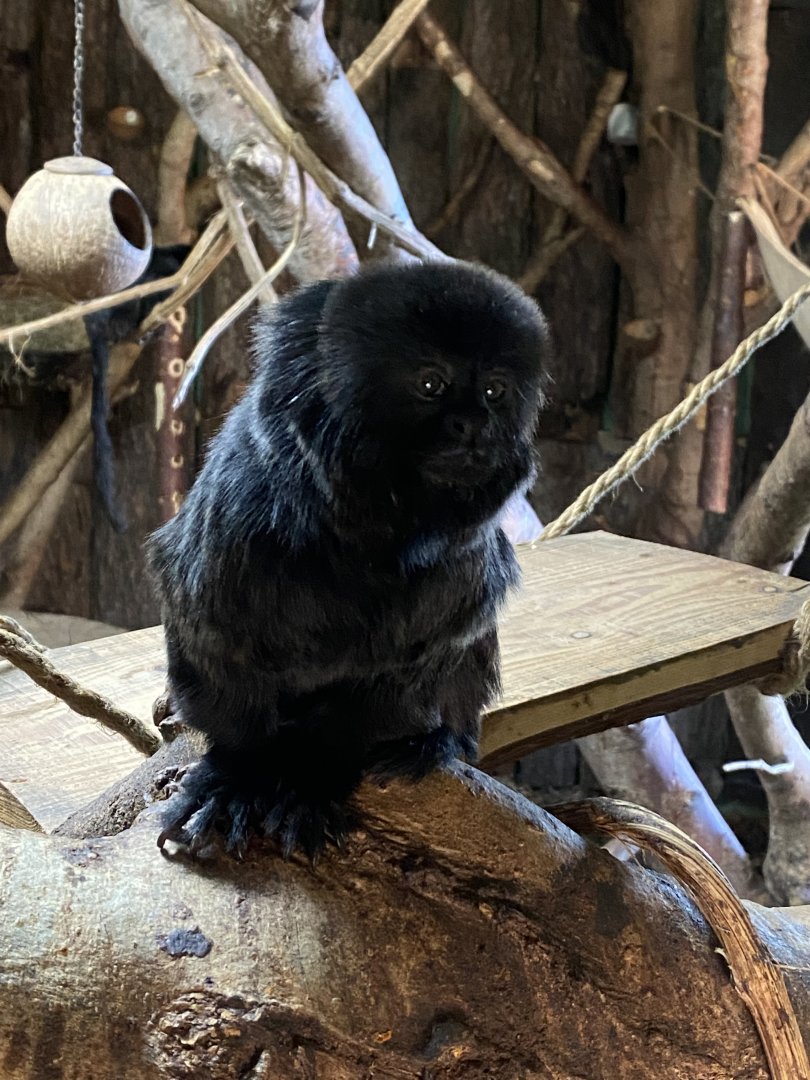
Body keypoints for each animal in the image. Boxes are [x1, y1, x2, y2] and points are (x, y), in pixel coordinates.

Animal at [148, 260, 549, 858]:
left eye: (495, 391)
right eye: (431, 384)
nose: (475, 425)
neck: (365, 533)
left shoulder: (457, 580)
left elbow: (394, 683)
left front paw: (311, 780)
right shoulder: (228, 546)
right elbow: (222, 664)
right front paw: (236, 776)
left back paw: (437, 738)